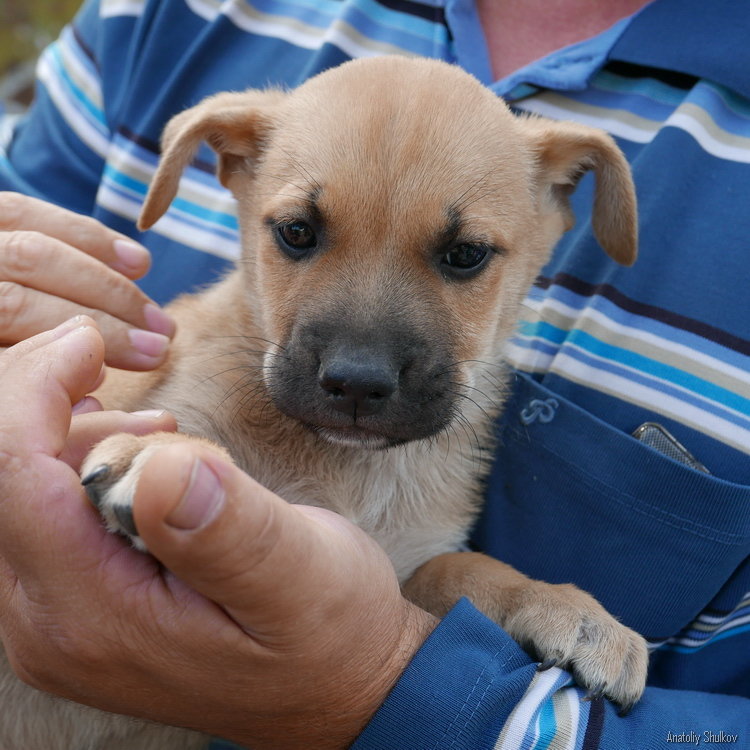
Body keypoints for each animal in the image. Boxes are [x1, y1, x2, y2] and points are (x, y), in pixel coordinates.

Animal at [0, 58, 648, 750]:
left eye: (466, 254)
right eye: (296, 233)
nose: (357, 384)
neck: (351, 471)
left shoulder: (401, 565)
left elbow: (463, 569)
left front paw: (567, 607)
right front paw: (164, 451)